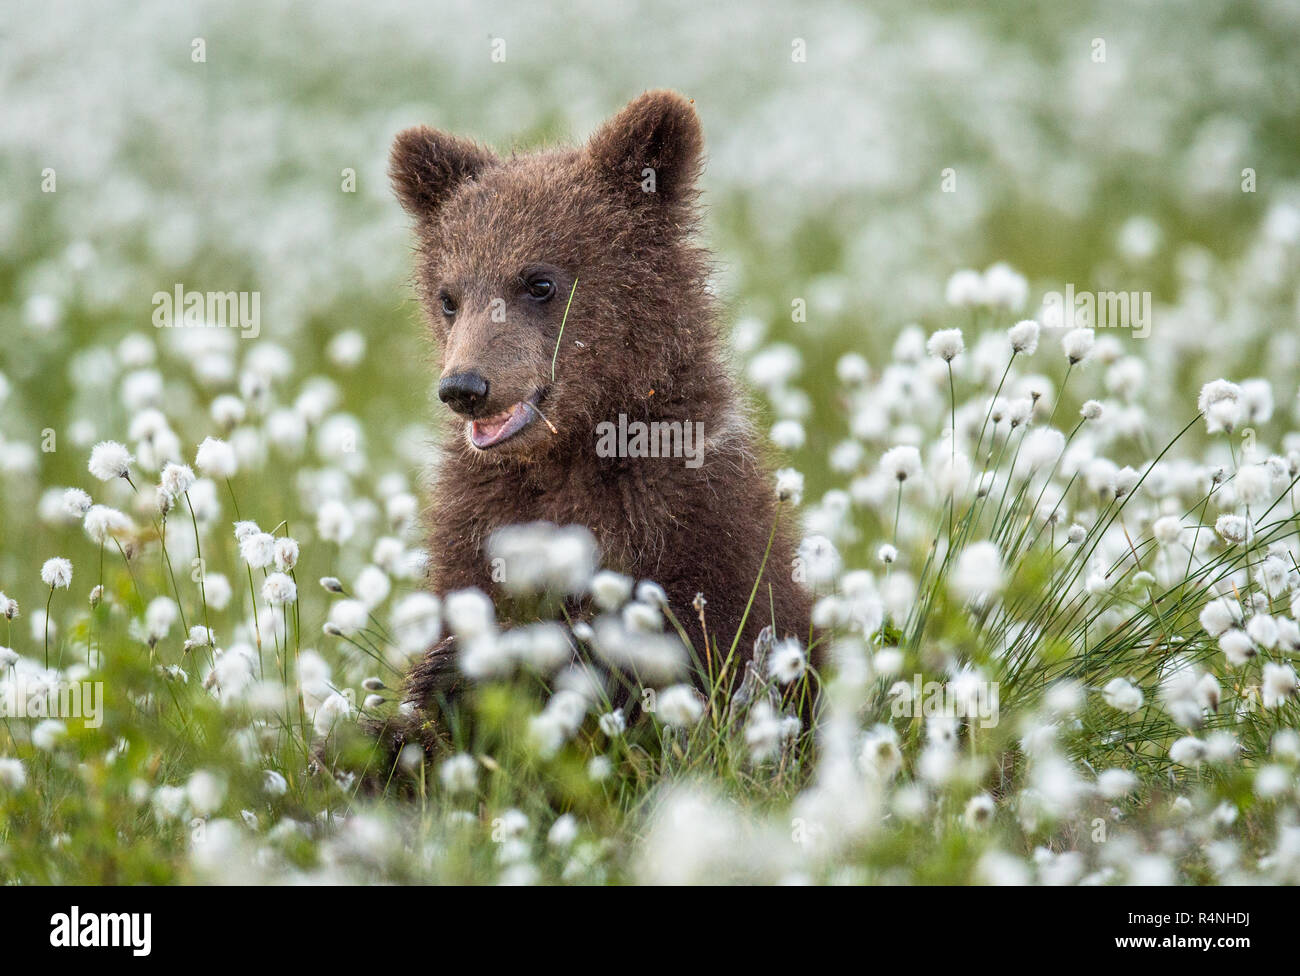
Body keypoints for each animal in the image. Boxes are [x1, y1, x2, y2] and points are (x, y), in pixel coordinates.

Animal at [388, 90, 811, 741]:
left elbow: (684, 660)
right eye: (448, 297)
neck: (566, 453)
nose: (464, 387)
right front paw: (440, 679)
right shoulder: (477, 521)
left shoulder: (689, 523)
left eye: (539, 282)